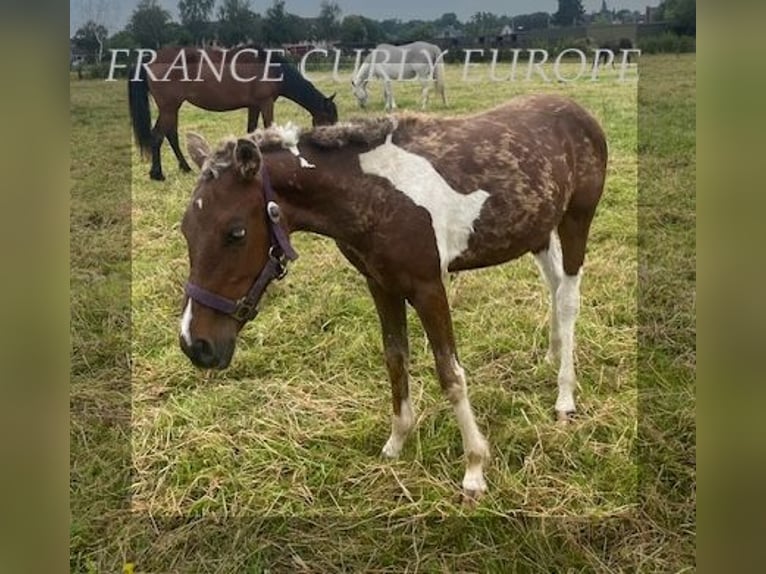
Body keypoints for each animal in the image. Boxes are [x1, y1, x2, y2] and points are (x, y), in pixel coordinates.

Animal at [129, 47, 340, 182]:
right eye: (329, 120)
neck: (269, 68)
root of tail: (150, 60)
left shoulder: (254, 106)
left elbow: (251, 131)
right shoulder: (266, 103)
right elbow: (268, 128)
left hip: (171, 108)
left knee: (170, 134)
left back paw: (185, 167)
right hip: (169, 107)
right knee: (158, 136)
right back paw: (157, 174)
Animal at [177, 93, 608, 500]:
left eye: (235, 232)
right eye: (186, 229)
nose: (195, 345)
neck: (374, 194)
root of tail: (578, 111)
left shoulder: (429, 286)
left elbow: (450, 374)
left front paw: (474, 468)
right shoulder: (381, 284)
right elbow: (395, 359)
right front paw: (397, 442)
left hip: (576, 220)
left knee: (568, 298)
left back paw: (564, 397)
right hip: (536, 232)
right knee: (553, 284)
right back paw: (552, 355)